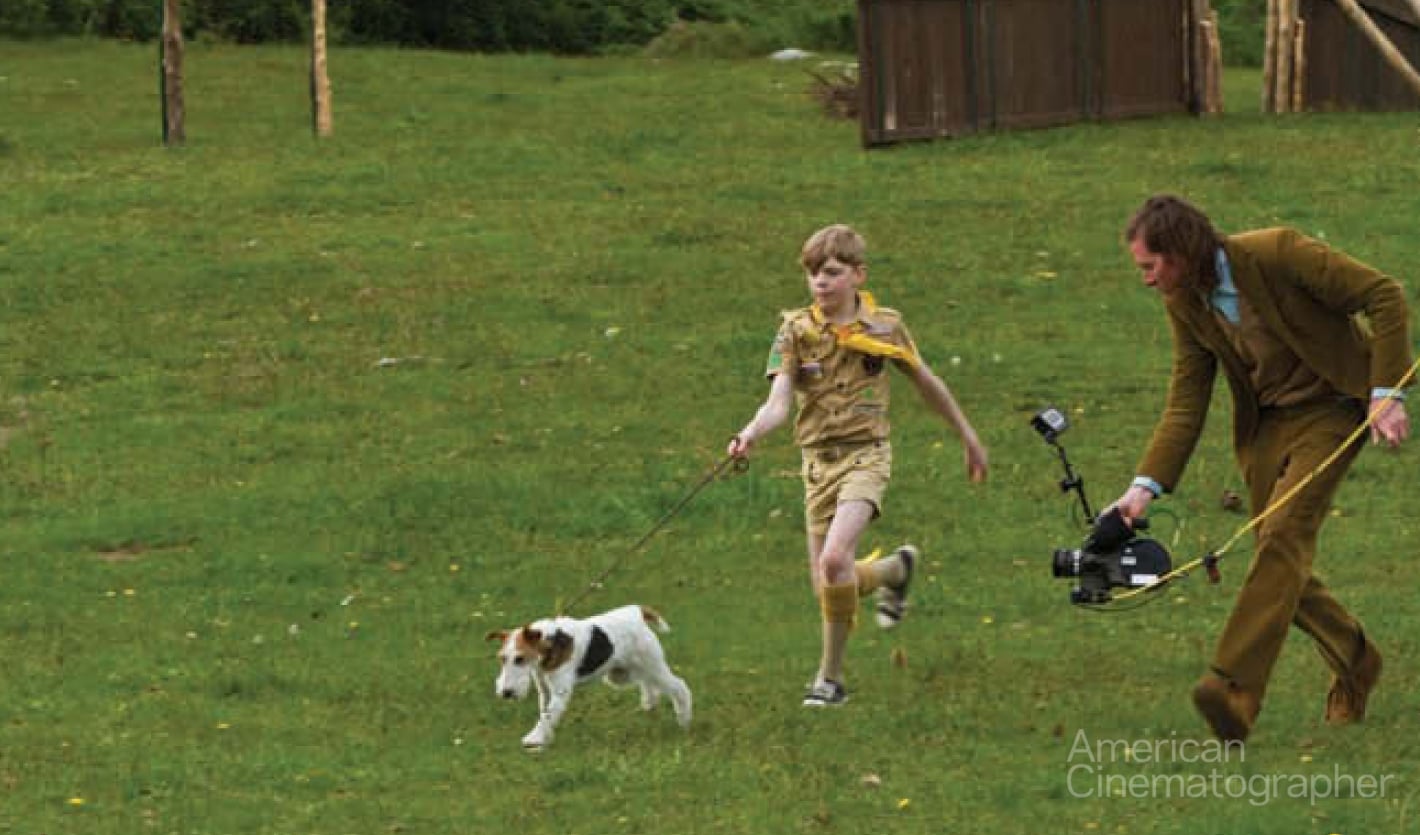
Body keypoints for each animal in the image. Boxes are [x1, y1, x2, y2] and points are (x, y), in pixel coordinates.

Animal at [486, 604, 692, 749]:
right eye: (502, 658)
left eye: (520, 659)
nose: (506, 692)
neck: (549, 643)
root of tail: (636, 612)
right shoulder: (544, 689)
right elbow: (544, 713)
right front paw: (544, 739)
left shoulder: (560, 691)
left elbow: (549, 714)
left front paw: (533, 740)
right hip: (624, 672)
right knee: (649, 684)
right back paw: (649, 703)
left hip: (650, 664)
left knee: (679, 687)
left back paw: (684, 720)